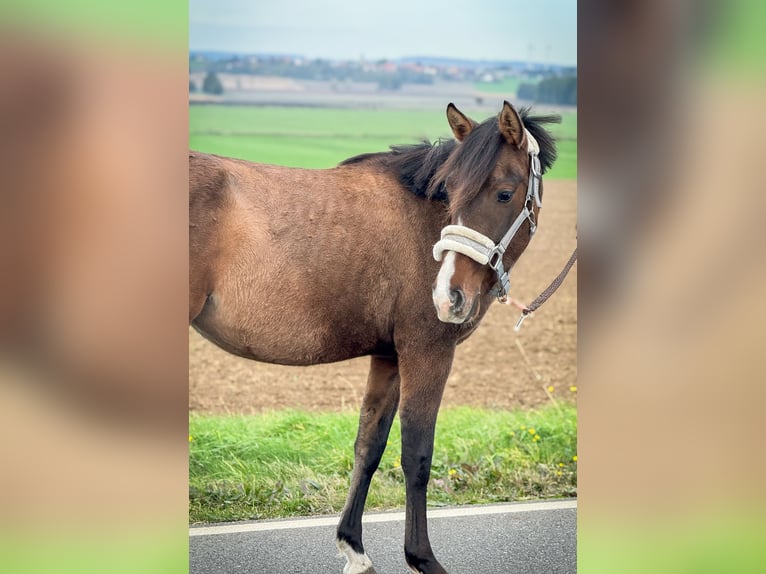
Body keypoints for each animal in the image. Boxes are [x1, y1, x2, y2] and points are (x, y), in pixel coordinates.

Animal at [189, 101, 560, 572]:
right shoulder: (427, 352)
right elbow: (416, 454)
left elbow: (369, 446)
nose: (448, 296)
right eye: (452, 194)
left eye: (505, 193)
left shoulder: (389, 358)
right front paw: (421, 557)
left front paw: (353, 546)